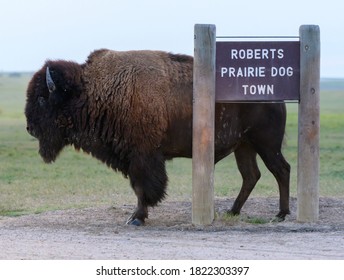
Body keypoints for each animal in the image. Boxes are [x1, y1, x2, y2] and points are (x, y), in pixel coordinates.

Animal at [24, 49, 290, 226]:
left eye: (42, 99)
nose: (29, 128)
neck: (95, 90)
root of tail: (274, 94)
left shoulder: (143, 157)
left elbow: (143, 187)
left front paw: (136, 218)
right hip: (244, 146)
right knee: (251, 175)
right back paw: (233, 211)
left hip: (266, 144)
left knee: (281, 170)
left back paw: (281, 214)